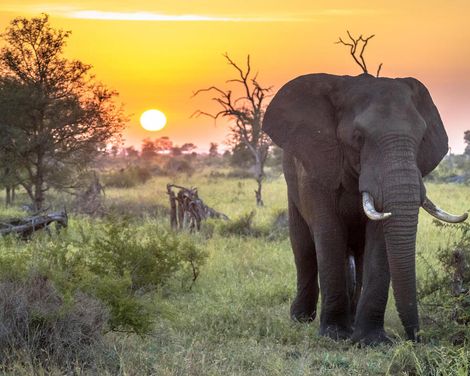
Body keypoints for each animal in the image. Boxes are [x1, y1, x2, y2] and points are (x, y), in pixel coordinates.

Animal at [262, 72, 468, 346]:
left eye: (422, 137)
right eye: (358, 137)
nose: (416, 337)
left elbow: (379, 241)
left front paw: (372, 341)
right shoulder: (318, 167)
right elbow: (328, 233)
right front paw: (335, 335)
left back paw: (351, 321)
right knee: (303, 248)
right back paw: (302, 318)